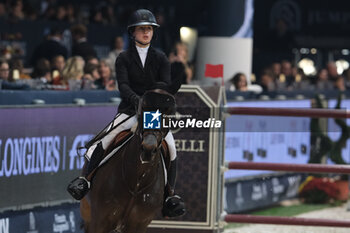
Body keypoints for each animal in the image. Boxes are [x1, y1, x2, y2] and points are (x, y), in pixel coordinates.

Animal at [78, 90, 173, 233]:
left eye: (166, 117)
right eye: (142, 112)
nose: (148, 149)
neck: (136, 183)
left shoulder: (139, 224)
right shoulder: (100, 221)